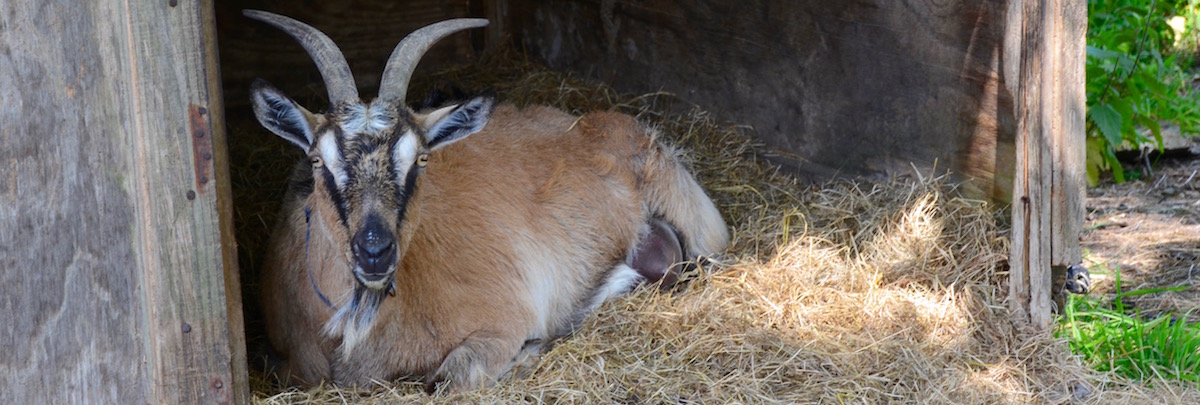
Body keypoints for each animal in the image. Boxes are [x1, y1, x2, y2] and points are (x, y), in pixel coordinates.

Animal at [248, 10, 724, 393]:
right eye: (317, 160)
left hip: (690, 210)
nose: (374, 251)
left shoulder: (503, 320)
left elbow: (449, 379)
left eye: (420, 159)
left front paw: (532, 350)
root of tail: (581, 122)